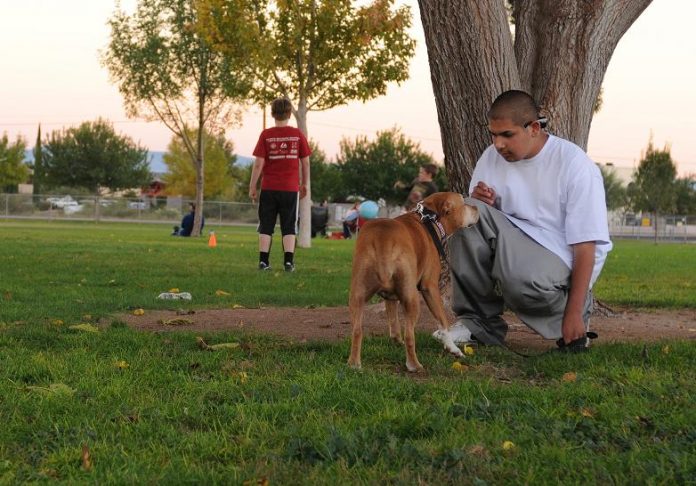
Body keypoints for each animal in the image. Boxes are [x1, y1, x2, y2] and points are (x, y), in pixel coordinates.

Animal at [348, 192, 478, 370]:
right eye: (463, 203)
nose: (476, 207)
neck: (431, 219)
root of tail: (383, 239)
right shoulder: (430, 288)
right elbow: (442, 321)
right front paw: (453, 348)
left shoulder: (391, 297)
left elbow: (393, 320)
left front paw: (396, 341)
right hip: (412, 299)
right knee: (410, 335)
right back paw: (414, 365)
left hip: (357, 295)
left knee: (357, 330)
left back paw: (354, 364)